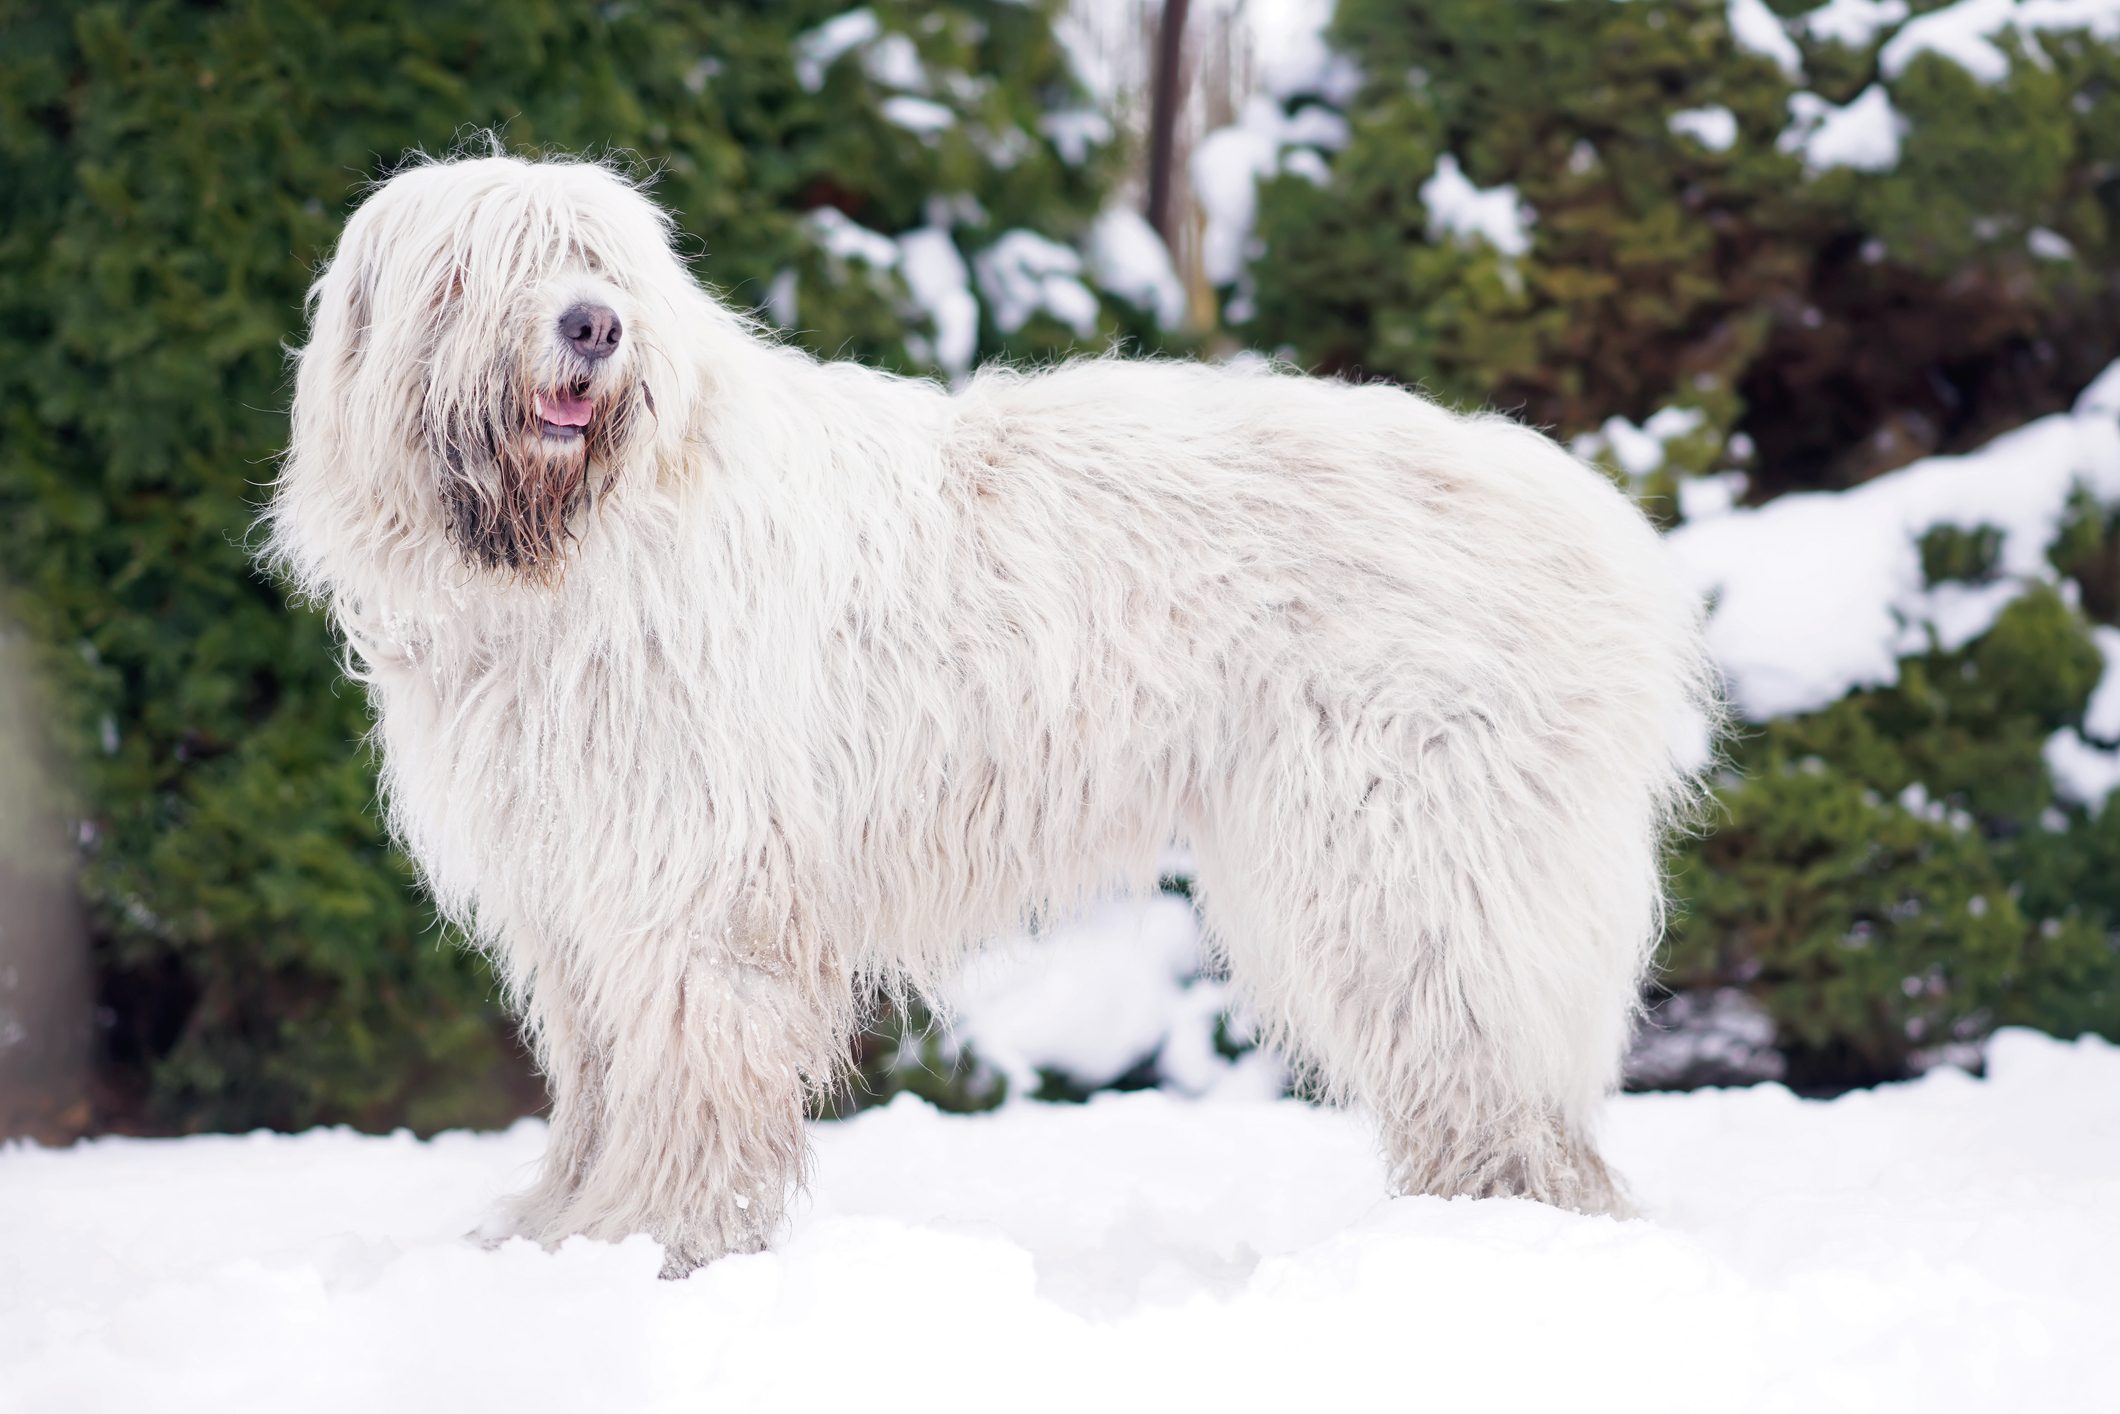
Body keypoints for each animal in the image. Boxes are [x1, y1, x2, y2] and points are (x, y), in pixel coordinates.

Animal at [269, 149, 1721, 1280]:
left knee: (1501, 1081)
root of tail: (1607, 530)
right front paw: (564, 1231)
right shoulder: (578, 895)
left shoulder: (700, 890)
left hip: (1413, 857)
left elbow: (687, 1076)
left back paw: (1495, 1245)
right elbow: (598, 1080)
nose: (590, 328)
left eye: (601, 264)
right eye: (472, 271)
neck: (588, 540)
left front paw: (658, 1240)